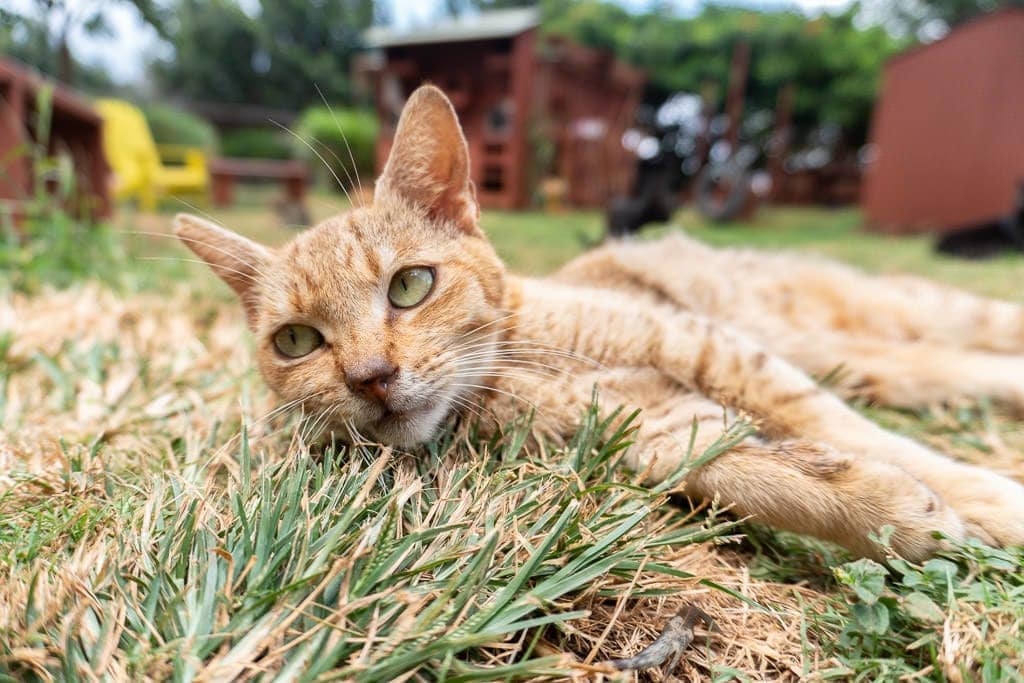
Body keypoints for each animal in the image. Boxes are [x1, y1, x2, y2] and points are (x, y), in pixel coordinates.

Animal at [176, 85, 1024, 565]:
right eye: (296, 341)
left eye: (410, 285)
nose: (370, 377)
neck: (512, 370)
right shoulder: (657, 424)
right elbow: (757, 471)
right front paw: (891, 512)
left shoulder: (722, 354)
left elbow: (852, 431)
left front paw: (985, 499)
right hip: (873, 358)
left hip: (897, 316)